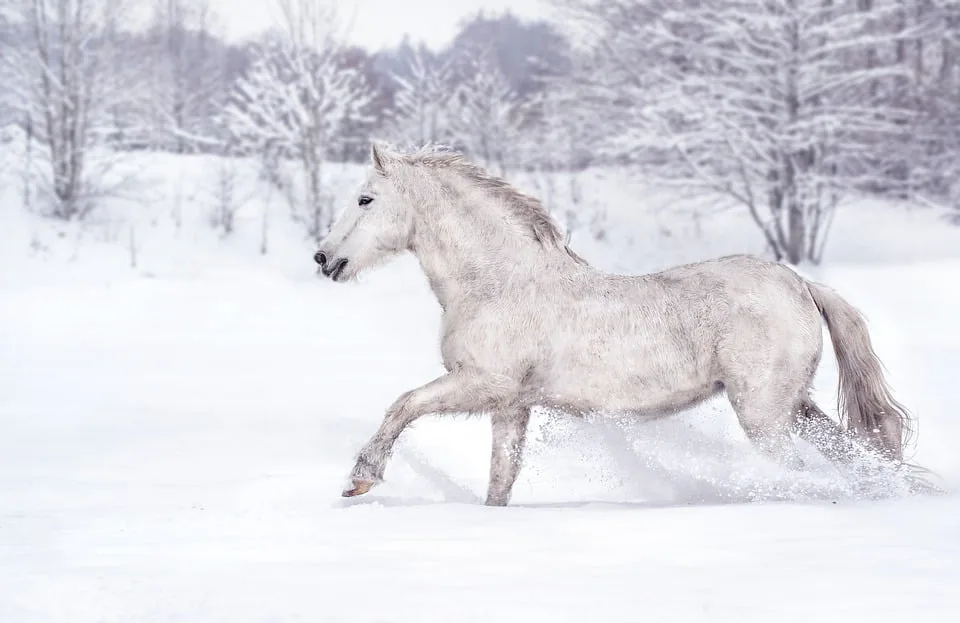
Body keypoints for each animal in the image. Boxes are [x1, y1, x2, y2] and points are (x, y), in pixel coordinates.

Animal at [316, 143, 924, 508]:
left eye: (365, 198)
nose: (325, 259)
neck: (499, 281)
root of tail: (800, 283)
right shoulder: (511, 405)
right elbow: (500, 479)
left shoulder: (483, 383)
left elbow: (403, 404)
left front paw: (360, 479)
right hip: (794, 406)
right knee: (855, 451)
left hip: (764, 413)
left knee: (798, 472)